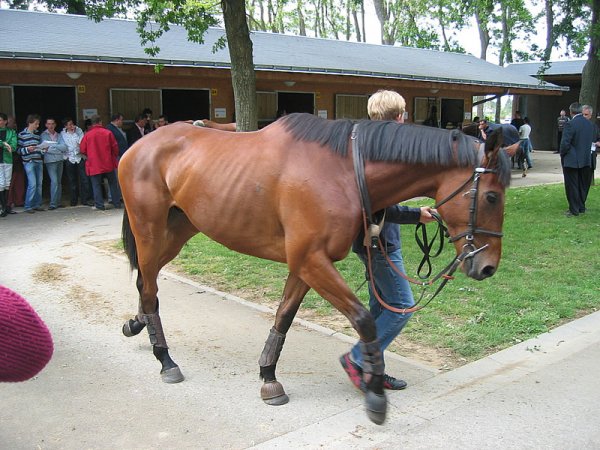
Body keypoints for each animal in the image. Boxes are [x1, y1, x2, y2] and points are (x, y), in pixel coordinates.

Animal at [118, 113, 510, 426]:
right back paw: (165, 359)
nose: (488, 267)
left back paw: (137, 324)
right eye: (491, 196)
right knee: (149, 288)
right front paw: (375, 395)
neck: (342, 171)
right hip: (149, 232)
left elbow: (284, 317)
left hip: (179, 230)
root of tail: (140, 145)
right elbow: (364, 320)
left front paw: (268, 376)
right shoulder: (312, 261)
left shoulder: (304, 265)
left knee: (145, 282)